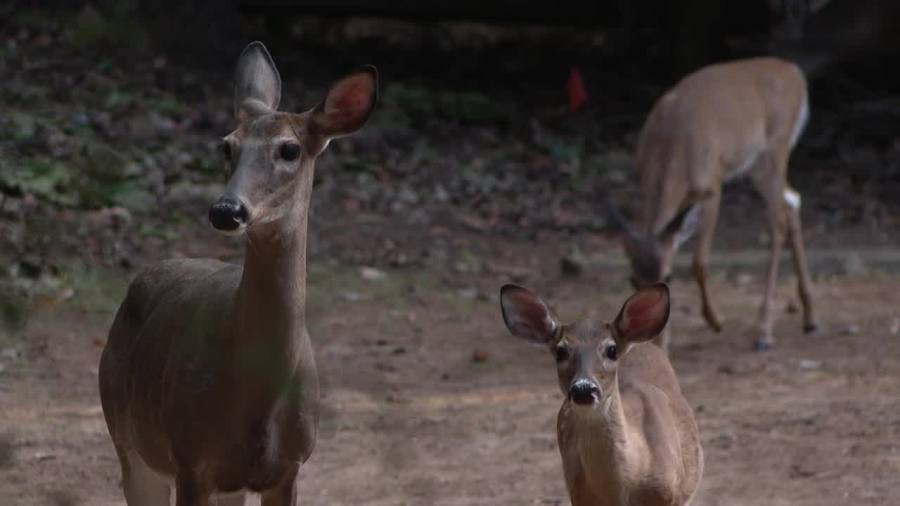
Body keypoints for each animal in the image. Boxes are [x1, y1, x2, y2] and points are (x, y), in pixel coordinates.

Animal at [97, 42, 376, 506]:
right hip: (128, 437)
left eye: (289, 149)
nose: (226, 210)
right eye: (226, 146)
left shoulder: (289, 466)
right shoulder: (190, 457)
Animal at [608, 56, 820, 352]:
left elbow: (699, 261)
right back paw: (809, 318)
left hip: (775, 148)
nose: (652, 340)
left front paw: (715, 321)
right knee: (793, 200)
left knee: (777, 222)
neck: (671, 144)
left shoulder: (711, 185)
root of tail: (794, 72)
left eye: (669, 277)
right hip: (756, 165)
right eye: (632, 279)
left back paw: (764, 329)